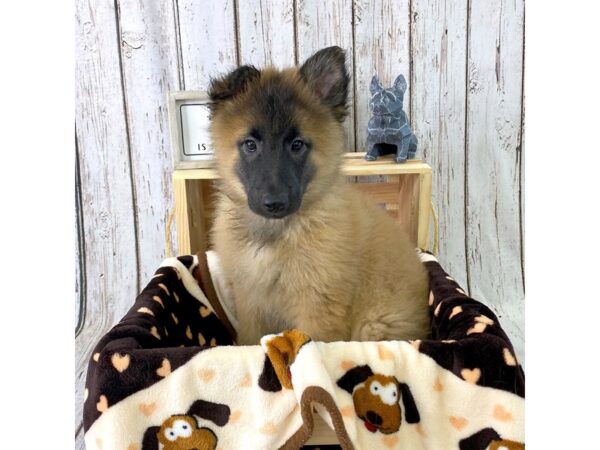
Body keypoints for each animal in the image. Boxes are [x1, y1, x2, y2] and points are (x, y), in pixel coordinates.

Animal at [209, 45, 428, 344]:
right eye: (250, 145)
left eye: (297, 145)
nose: (275, 203)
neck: (276, 234)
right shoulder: (250, 303)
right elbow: (249, 341)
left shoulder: (318, 308)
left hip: (374, 326)